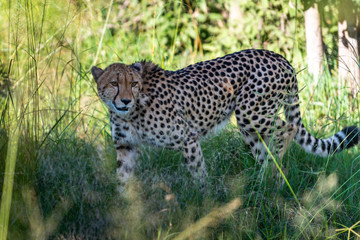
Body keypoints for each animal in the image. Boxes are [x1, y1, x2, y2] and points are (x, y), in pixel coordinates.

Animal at [91, 48, 358, 184]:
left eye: (133, 84)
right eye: (114, 83)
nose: (125, 100)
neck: (130, 113)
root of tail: (279, 56)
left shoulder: (187, 138)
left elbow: (198, 172)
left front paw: (205, 200)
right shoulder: (126, 147)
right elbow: (122, 180)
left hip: (251, 112)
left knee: (287, 130)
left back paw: (269, 173)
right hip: (250, 127)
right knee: (266, 151)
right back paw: (265, 183)